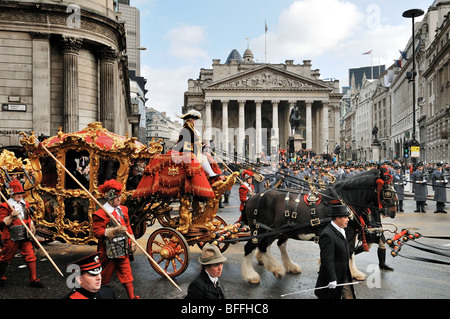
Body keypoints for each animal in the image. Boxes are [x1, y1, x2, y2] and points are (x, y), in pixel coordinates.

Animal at [241, 168, 396, 284]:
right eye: (388, 191)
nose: (393, 211)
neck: (344, 202)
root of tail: (252, 197)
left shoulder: (349, 235)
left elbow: (349, 253)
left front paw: (353, 272)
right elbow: (347, 253)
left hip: (276, 231)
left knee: (272, 246)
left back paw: (285, 267)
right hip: (261, 230)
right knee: (252, 247)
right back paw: (255, 274)